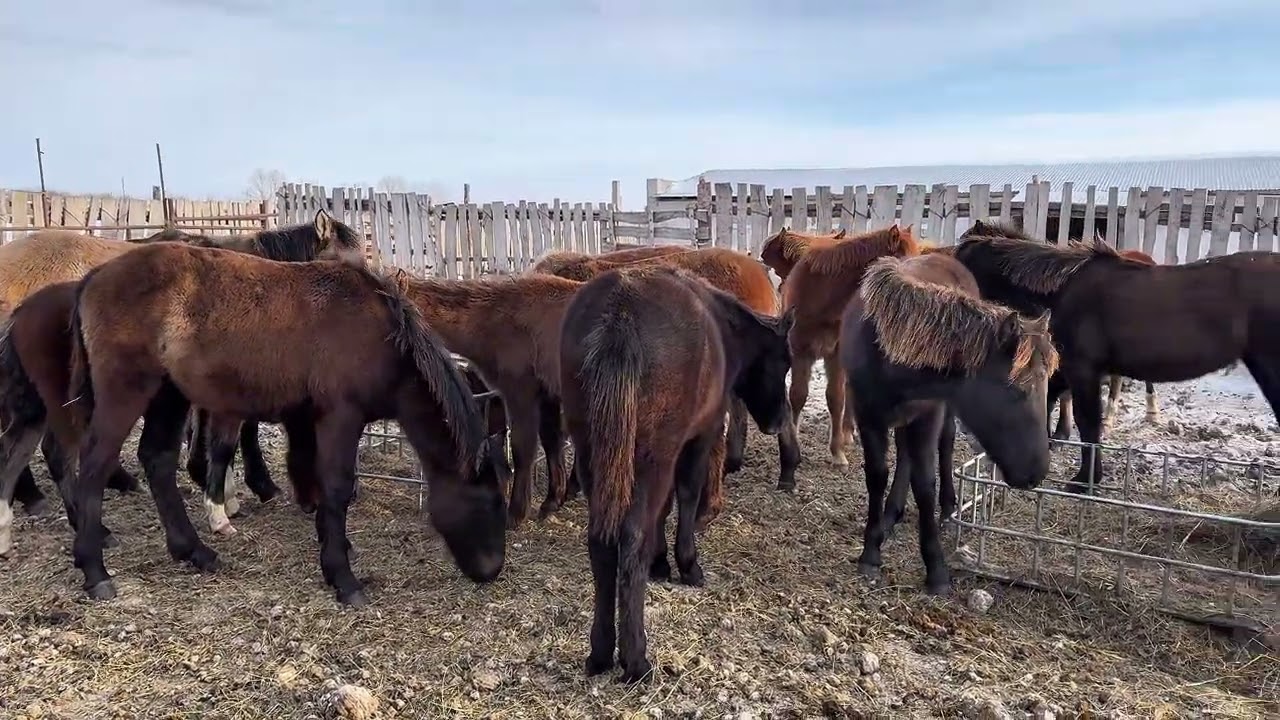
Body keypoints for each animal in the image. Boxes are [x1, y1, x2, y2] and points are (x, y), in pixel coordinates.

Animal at [62, 241, 508, 605]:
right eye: (488, 501)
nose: (492, 571)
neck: (379, 336)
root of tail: (95, 276)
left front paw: (337, 550)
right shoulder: (340, 417)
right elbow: (337, 488)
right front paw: (343, 579)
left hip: (168, 394)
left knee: (157, 460)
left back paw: (194, 551)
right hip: (127, 391)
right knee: (96, 464)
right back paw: (95, 570)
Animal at [559, 265, 794, 683]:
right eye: (784, 361)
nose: (779, 420)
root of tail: (620, 316)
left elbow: (664, 508)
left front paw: (659, 563)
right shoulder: (699, 437)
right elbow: (685, 496)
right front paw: (686, 564)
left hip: (594, 456)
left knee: (601, 541)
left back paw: (600, 652)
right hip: (650, 457)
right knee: (630, 536)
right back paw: (635, 658)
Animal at [781, 224, 922, 467]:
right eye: (904, 260)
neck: (822, 297)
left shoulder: (835, 355)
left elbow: (835, 398)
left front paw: (837, 452)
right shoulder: (800, 351)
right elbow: (797, 395)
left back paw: (847, 433)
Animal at [840, 253, 1057, 593]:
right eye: (1016, 390)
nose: (1037, 473)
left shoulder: (929, 414)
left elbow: (925, 484)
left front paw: (936, 569)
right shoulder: (867, 415)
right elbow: (877, 476)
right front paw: (871, 552)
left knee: (944, 445)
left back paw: (946, 508)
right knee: (905, 454)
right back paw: (891, 515)